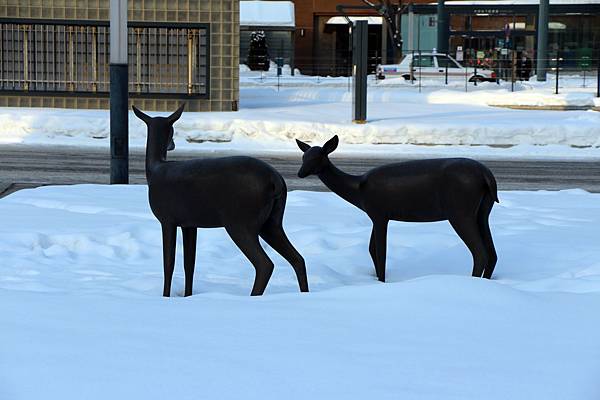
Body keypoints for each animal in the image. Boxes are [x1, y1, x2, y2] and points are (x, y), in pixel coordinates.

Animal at [133, 104, 308, 296]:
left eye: (172, 129)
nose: (172, 144)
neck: (155, 170)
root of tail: (276, 181)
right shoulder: (189, 223)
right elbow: (189, 264)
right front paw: (188, 295)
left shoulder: (167, 218)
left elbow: (168, 264)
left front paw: (165, 296)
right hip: (272, 221)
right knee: (298, 259)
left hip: (240, 221)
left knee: (265, 264)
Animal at [296, 136, 496, 282]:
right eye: (303, 157)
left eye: (317, 157)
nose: (300, 173)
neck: (358, 191)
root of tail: (486, 175)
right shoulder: (375, 216)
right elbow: (371, 249)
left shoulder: (379, 213)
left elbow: (380, 252)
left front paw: (383, 282)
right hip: (483, 210)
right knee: (492, 253)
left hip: (460, 210)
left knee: (480, 252)